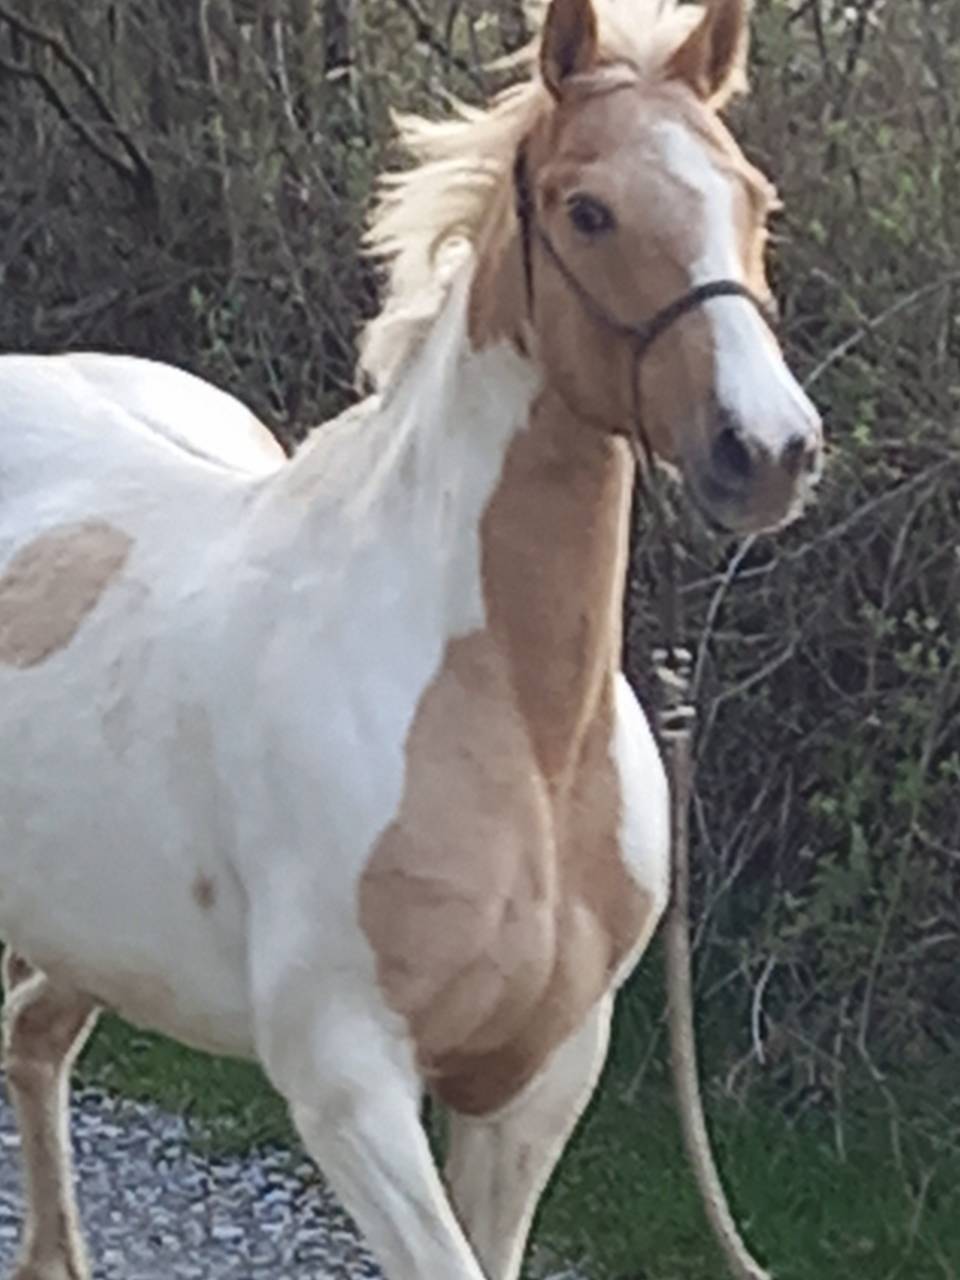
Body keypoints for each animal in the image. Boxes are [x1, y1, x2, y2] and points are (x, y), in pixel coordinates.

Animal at [0, 1, 822, 1277]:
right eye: (588, 209)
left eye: (754, 197)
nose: (769, 449)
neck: (517, 728)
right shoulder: (347, 1080)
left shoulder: (534, 1080)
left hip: (91, 927)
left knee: (31, 1035)